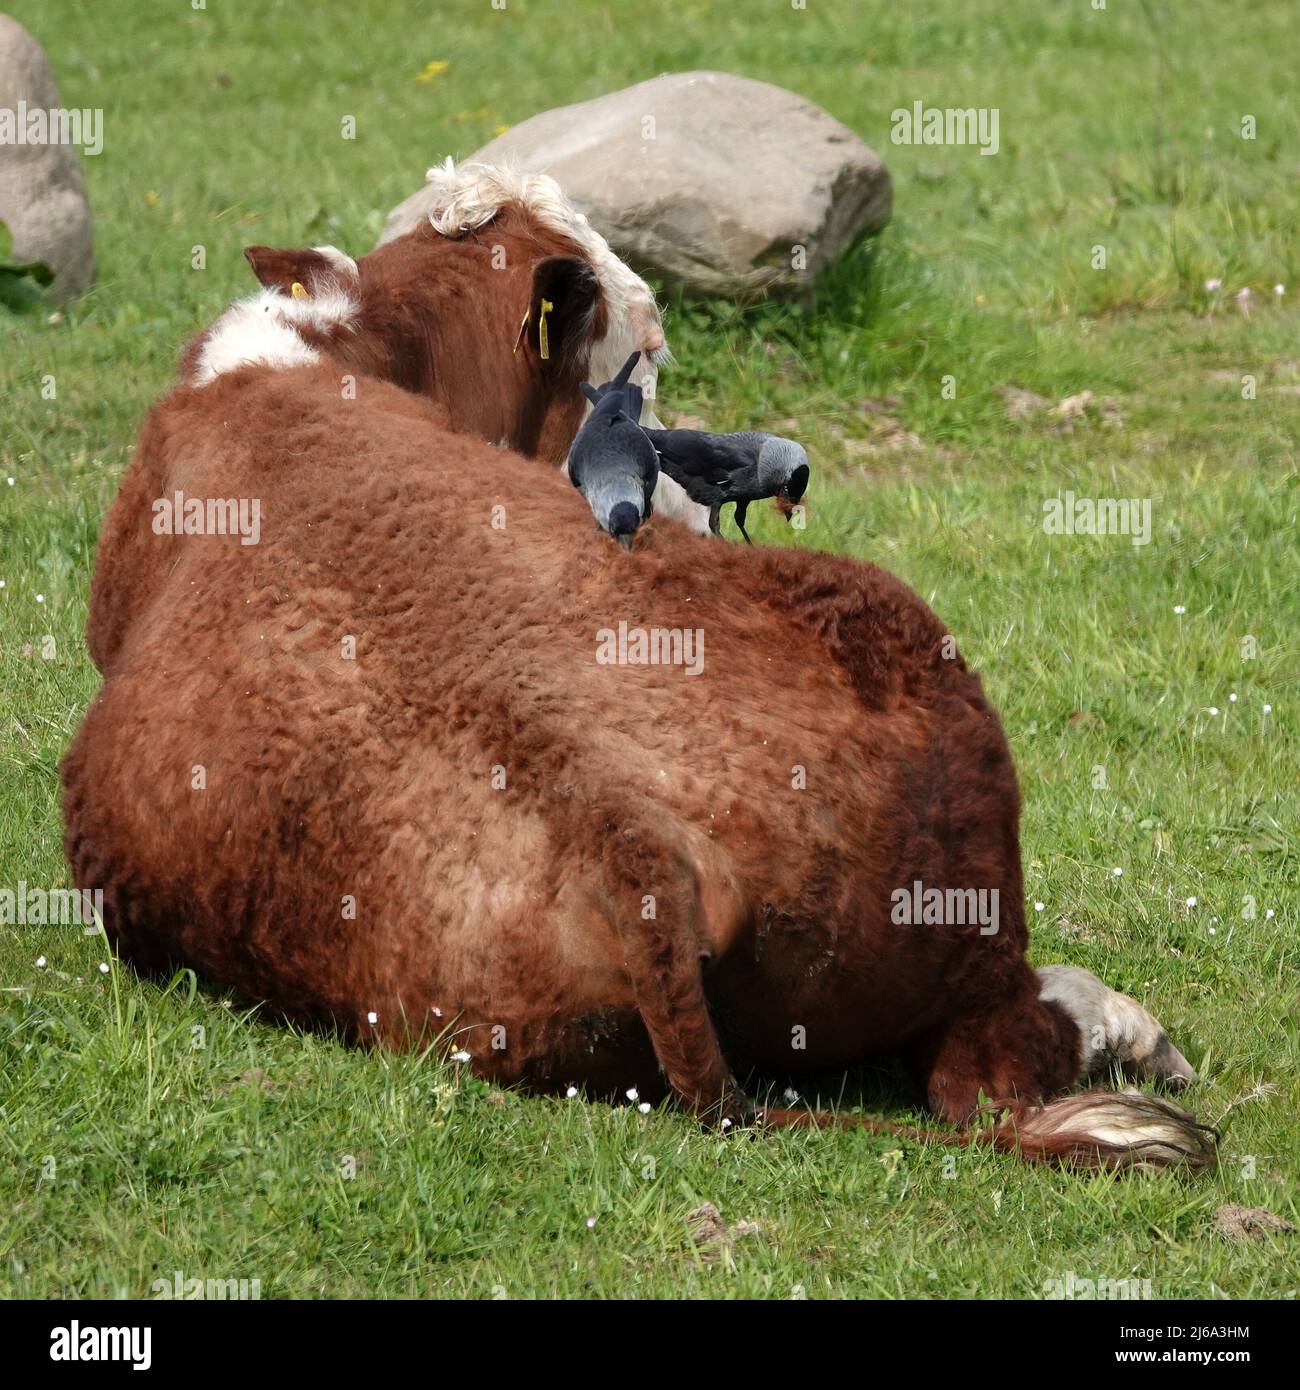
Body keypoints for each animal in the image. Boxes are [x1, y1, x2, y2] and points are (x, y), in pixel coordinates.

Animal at [61, 162, 1214, 1171]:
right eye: (647, 359)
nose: (690, 508)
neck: (299, 362)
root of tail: (627, 831)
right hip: (938, 750)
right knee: (999, 1052)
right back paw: (1132, 1029)